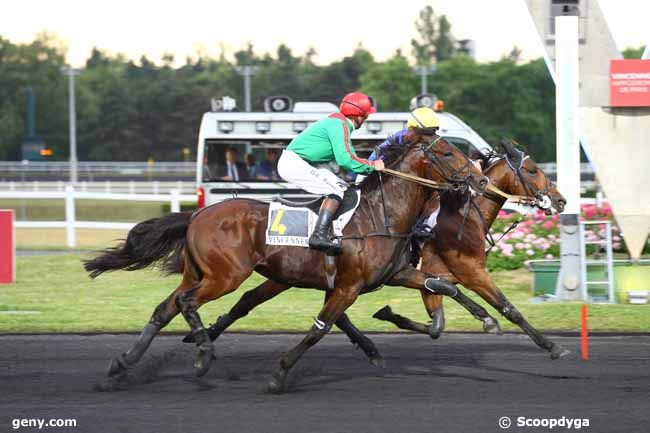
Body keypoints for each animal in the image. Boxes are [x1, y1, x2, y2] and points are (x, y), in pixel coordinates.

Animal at [82, 136, 486, 392]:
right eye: (448, 152)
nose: (480, 179)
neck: (379, 215)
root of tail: (198, 213)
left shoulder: (394, 274)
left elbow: (442, 284)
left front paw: (485, 318)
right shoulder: (348, 285)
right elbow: (320, 327)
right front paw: (279, 375)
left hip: (199, 273)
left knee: (165, 308)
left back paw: (123, 364)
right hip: (225, 276)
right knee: (187, 302)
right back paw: (203, 355)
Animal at [181, 140, 568, 362]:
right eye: (533, 170)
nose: (561, 200)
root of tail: (199, 213)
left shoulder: (420, 273)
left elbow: (437, 322)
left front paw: (389, 315)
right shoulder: (467, 269)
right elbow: (506, 308)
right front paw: (550, 346)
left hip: (284, 275)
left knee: (247, 301)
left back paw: (202, 335)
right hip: (242, 273)